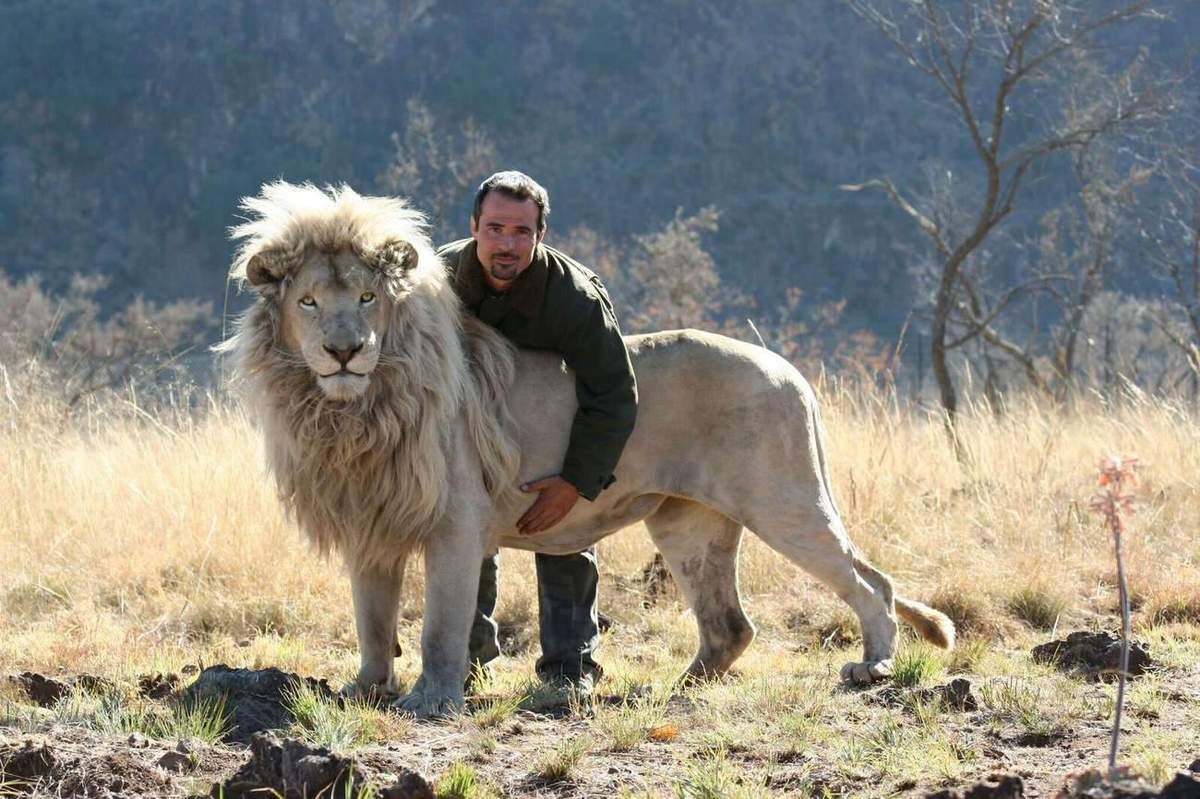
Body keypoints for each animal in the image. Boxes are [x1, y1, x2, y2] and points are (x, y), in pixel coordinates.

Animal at [223, 179, 955, 715]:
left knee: (872, 581)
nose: (344, 351)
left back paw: (873, 664)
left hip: (784, 499)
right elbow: (371, 618)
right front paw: (364, 688)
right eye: (309, 302)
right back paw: (679, 687)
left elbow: (439, 625)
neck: (352, 412)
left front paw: (430, 700)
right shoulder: (368, 520)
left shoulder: (455, 522)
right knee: (731, 624)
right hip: (688, 523)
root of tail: (789, 369)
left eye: (369, 297)